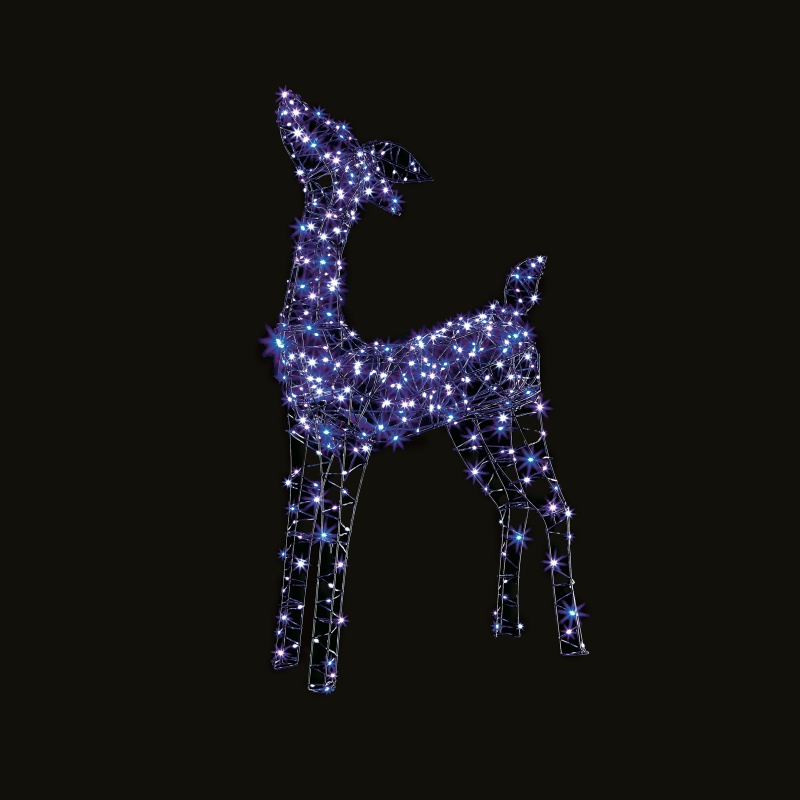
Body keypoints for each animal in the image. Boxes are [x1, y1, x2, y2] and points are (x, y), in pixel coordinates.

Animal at [263, 88, 588, 694]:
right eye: (318, 158)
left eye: (356, 164)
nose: (294, 119)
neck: (323, 344)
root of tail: (515, 307)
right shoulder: (301, 438)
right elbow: (298, 539)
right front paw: (283, 659)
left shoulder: (351, 443)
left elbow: (331, 546)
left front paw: (321, 678)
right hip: (478, 429)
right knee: (514, 504)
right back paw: (504, 628)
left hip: (524, 414)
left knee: (555, 504)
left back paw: (573, 643)